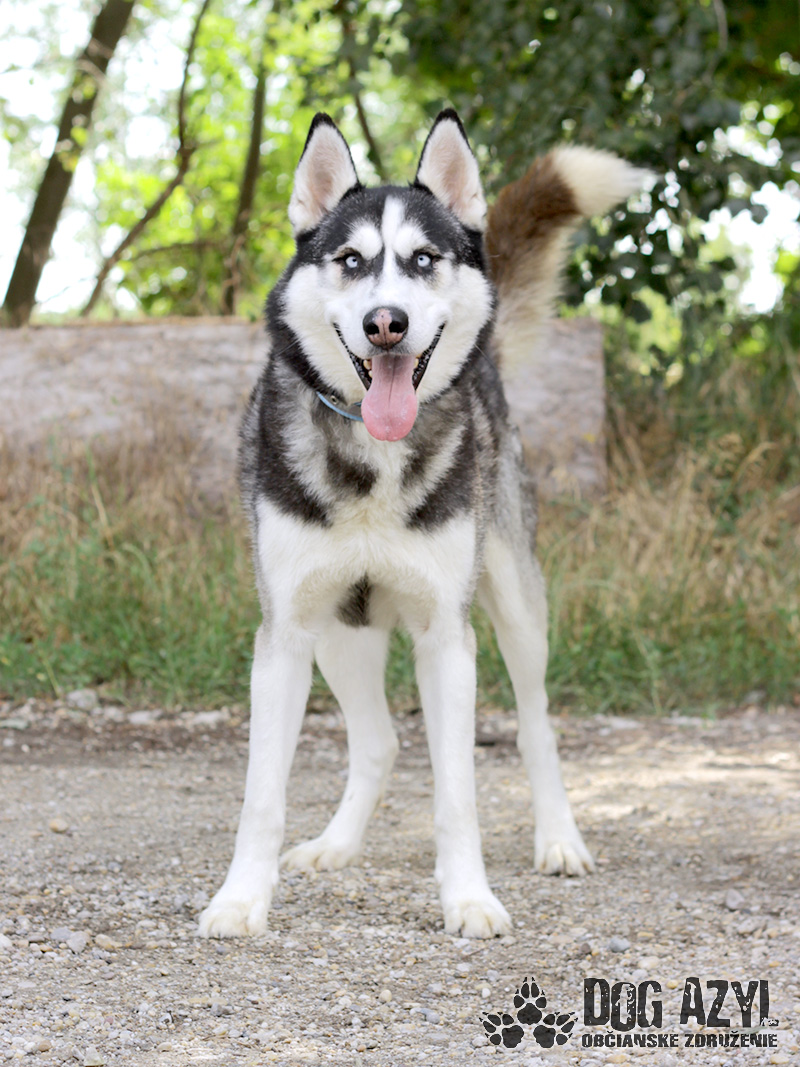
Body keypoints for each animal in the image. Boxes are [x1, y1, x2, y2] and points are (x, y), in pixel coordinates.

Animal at [198, 110, 648, 939]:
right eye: (350, 260)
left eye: (423, 259)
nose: (386, 323)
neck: (373, 457)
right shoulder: (284, 635)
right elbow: (261, 795)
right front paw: (241, 898)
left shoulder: (448, 637)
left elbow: (457, 795)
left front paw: (469, 896)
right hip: (339, 633)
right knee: (379, 740)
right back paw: (336, 846)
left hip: (516, 605)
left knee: (536, 722)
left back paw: (560, 839)